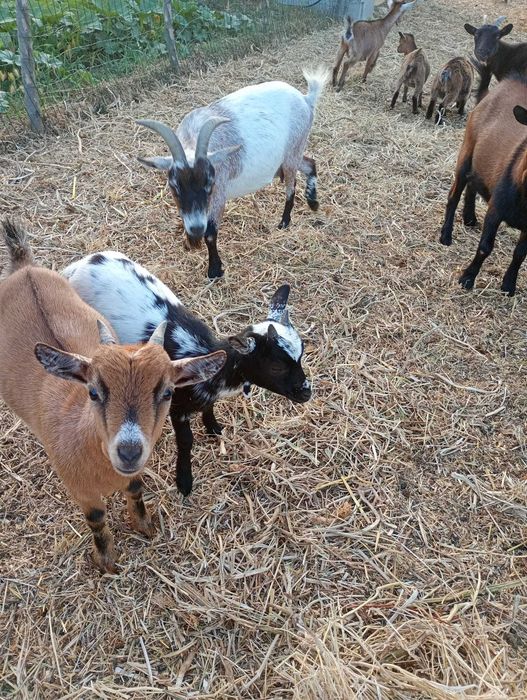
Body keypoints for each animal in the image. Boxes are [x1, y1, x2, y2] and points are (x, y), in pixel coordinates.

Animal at [0, 221, 225, 572]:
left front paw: (145, 527)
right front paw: (106, 561)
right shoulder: (81, 492)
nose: (129, 452)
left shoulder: (134, 475)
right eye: (93, 391)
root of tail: (24, 268)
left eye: (167, 391)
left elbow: (135, 491)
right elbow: (96, 519)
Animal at [62, 251, 312, 496]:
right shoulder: (177, 406)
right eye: (276, 366)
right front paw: (184, 480)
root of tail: (81, 264)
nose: (306, 393)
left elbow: (209, 408)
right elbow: (185, 441)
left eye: (301, 354)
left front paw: (214, 429)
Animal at [136, 69, 327, 280]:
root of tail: (306, 99)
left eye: (209, 183)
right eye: (174, 186)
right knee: (310, 164)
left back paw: (284, 222)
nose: (195, 229)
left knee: (291, 186)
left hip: (292, 153)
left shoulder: (220, 192)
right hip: (288, 158)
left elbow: (210, 233)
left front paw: (214, 270)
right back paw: (313, 201)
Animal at [439, 76, 527, 296]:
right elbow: (485, 247)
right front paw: (467, 278)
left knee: (473, 183)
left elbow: (520, 254)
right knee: (454, 195)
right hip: (466, 152)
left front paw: (508, 286)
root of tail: (511, 79)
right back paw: (446, 235)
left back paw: (469, 218)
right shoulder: (495, 210)